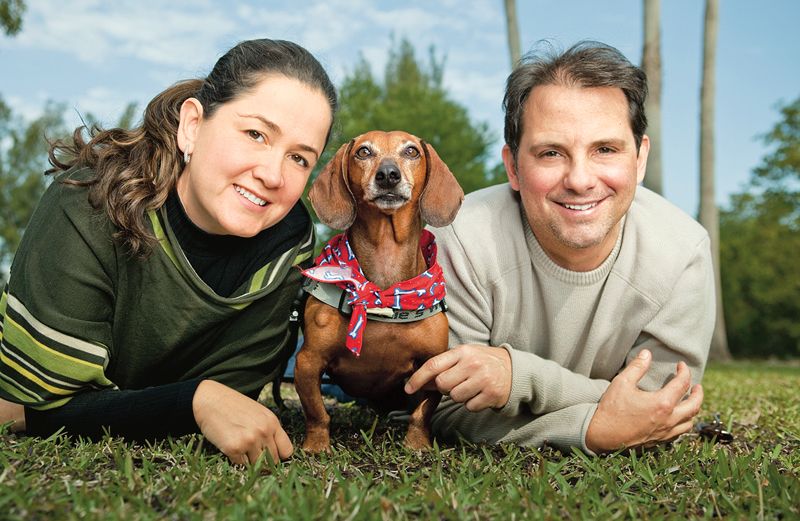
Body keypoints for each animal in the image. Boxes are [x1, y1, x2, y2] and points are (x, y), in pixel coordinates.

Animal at [296, 130, 462, 450]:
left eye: (411, 151)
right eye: (363, 152)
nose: (388, 175)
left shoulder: (432, 364)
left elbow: (422, 413)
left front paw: (417, 445)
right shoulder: (308, 361)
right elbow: (317, 413)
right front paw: (316, 446)